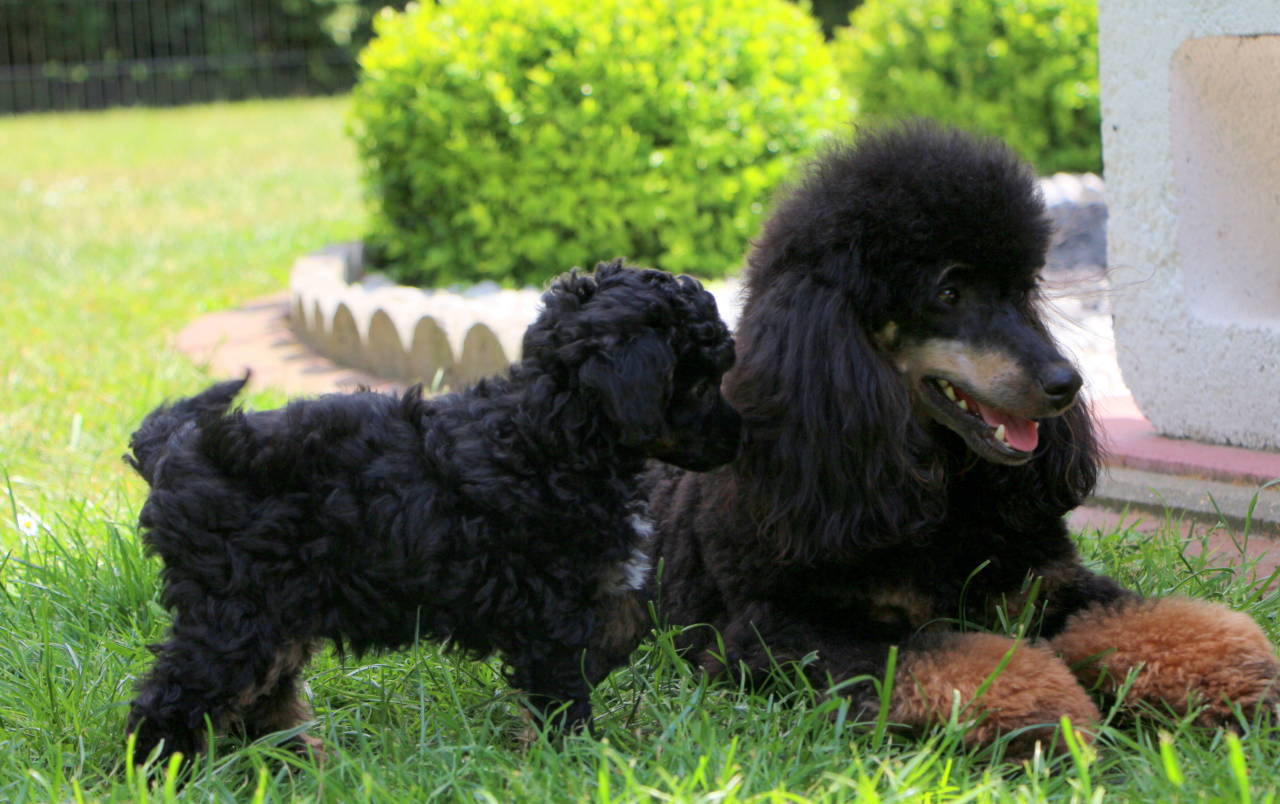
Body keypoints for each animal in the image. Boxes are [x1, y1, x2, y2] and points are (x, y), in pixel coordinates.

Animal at [126, 261, 742, 763]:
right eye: (701, 384)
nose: (741, 437)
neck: (551, 437)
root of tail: (175, 450)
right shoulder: (551, 606)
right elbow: (564, 689)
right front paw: (574, 759)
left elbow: (624, 622)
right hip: (236, 610)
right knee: (174, 698)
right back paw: (161, 772)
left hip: (278, 610)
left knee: (266, 693)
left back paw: (299, 761)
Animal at [650, 122, 1280, 757]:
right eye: (949, 293)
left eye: (1022, 289)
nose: (1066, 383)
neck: (935, 490)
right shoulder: (780, 627)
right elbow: (951, 659)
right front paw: (1048, 718)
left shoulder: (1050, 583)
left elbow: (1142, 619)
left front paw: (1240, 679)